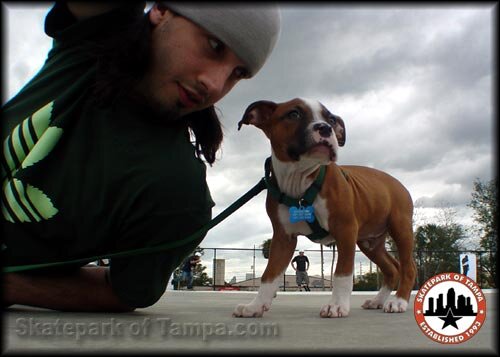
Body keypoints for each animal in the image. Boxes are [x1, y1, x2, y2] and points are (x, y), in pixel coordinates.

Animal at [232, 97, 416, 318]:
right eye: (293, 114)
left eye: (331, 119)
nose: (325, 128)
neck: (300, 182)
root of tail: (397, 182)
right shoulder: (283, 238)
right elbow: (270, 275)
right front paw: (255, 306)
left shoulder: (345, 230)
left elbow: (342, 273)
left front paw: (337, 305)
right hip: (370, 243)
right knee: (392, 269)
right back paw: (378, 300)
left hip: (400, 228)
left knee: (408, 267)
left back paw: (399, 301)